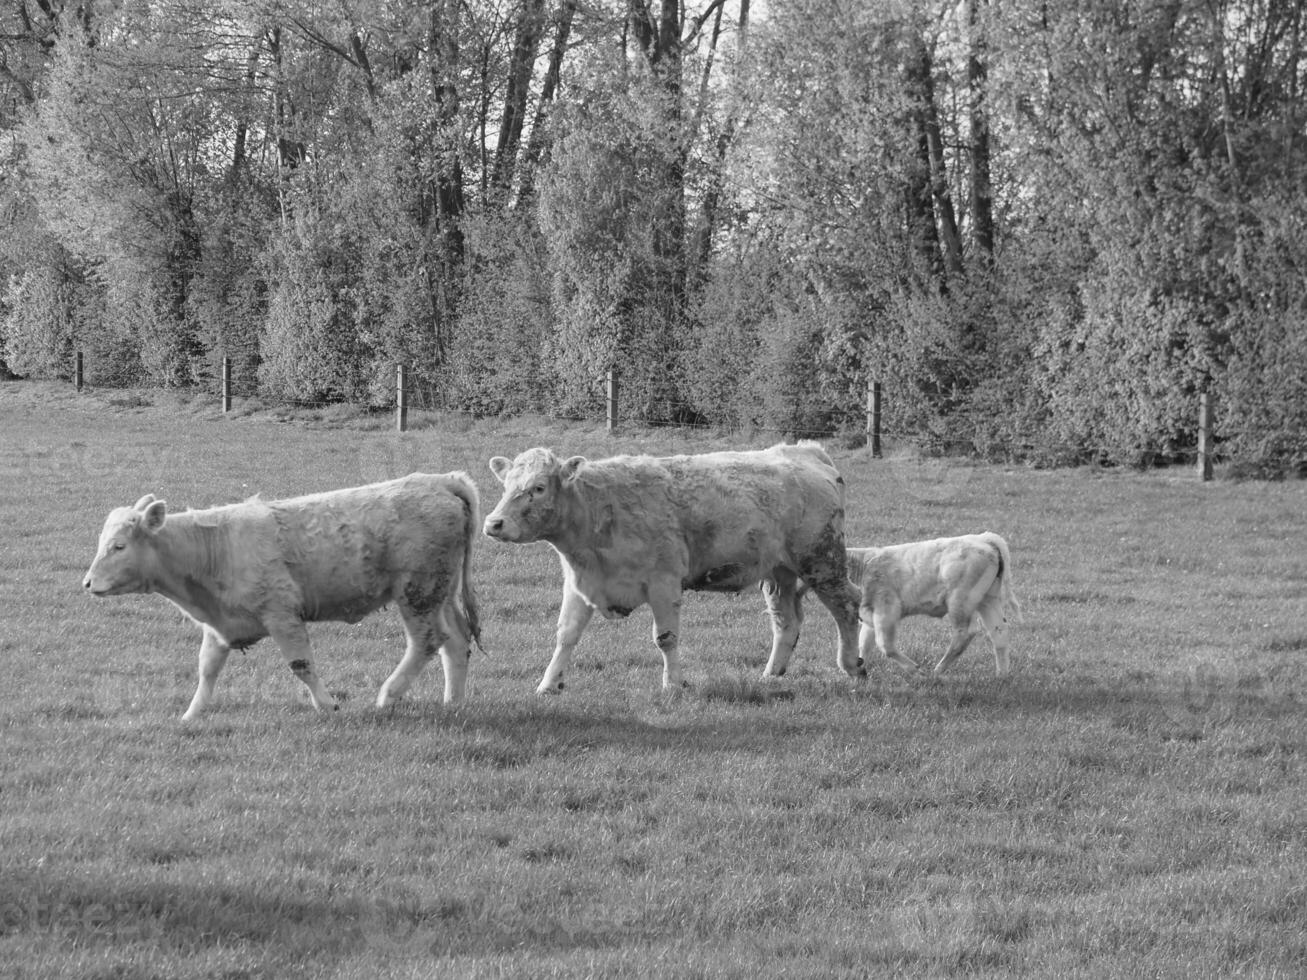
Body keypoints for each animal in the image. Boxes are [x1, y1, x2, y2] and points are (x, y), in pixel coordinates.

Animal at [81, 475, 483, 721]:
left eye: (118, 546)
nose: (87, 583)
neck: (215, 548)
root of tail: (440, 480)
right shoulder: (218, 625)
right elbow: (207, 669)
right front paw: (191, 715)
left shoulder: (282, 614)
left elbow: (301, 665)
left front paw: (327, 705)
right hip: (441, 593)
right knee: (455, 642)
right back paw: (453, 702)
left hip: (417, 593)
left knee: (427, 641)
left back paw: (389, 695)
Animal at [483, 441, 867, 695]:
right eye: (506, 485)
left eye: (538, 487)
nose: (493, 523)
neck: (598, 510)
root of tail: (805, 451)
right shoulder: (580, 583)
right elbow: (566, 635)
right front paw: (548, 683)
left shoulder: (664, 582)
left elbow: (665, 638)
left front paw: (674, 683)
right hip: (779, 573)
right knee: (786, 622)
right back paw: (771, 673)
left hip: (822, 561)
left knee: (847, 605)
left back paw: (852, 665)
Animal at [841, 533, 1024, 679]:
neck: (863, 566)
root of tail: (983, 538)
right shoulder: (869, 615)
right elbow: (864, 645)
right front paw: (859, 671)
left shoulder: (886, 609)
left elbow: (885, 645)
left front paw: (915, 670)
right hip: (988, 599)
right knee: (999, 631)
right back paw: (1001, 675)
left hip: (961, 601)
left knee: (966, 632)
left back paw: (937, 670)